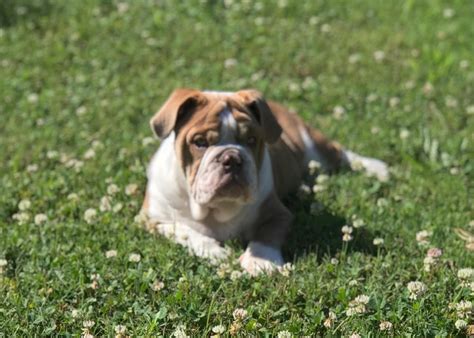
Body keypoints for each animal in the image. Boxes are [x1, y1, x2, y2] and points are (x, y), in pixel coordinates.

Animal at [142, 89, 388, 274]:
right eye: (200, 142)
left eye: (252, 140)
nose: (232, 158)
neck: (215, 210)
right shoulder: (153, 218)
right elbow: (184, 231)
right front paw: (214, 251)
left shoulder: (278, 214)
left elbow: (265, 236)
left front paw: (260, 261)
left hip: (313, 148)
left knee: (341, 153)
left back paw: (377, 168)